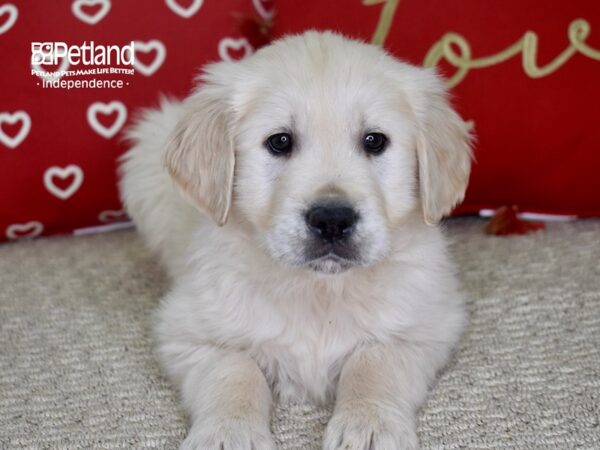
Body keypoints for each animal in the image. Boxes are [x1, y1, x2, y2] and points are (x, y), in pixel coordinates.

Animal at [118, 29, 474, 448]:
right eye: (280, 142)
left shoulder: (427, 325)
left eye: (374, 141)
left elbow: (373, 362)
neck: (318, 291)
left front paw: (368, 424)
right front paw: (229, 431)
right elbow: (235, 369)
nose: (333, 220)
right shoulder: (186, 333)